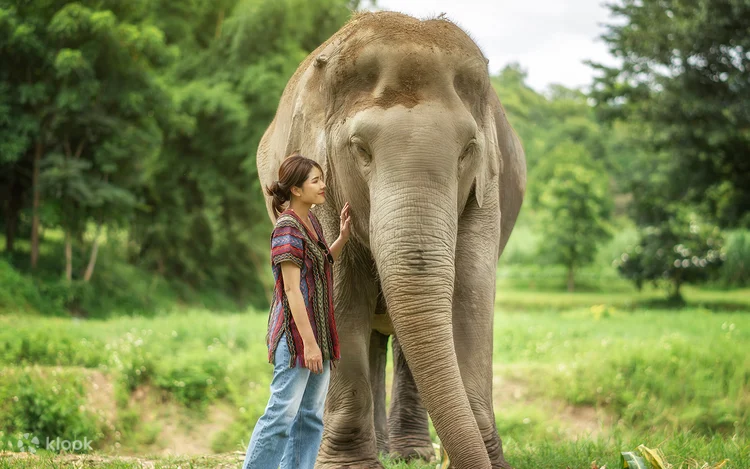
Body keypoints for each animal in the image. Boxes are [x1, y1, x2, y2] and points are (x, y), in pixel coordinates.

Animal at [257, 11, 526, 469]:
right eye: (360, 149)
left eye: (467, 150)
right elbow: (341, 291)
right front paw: (350, 466)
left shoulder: (487, 186)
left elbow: (472, 291)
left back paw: (409, 454)